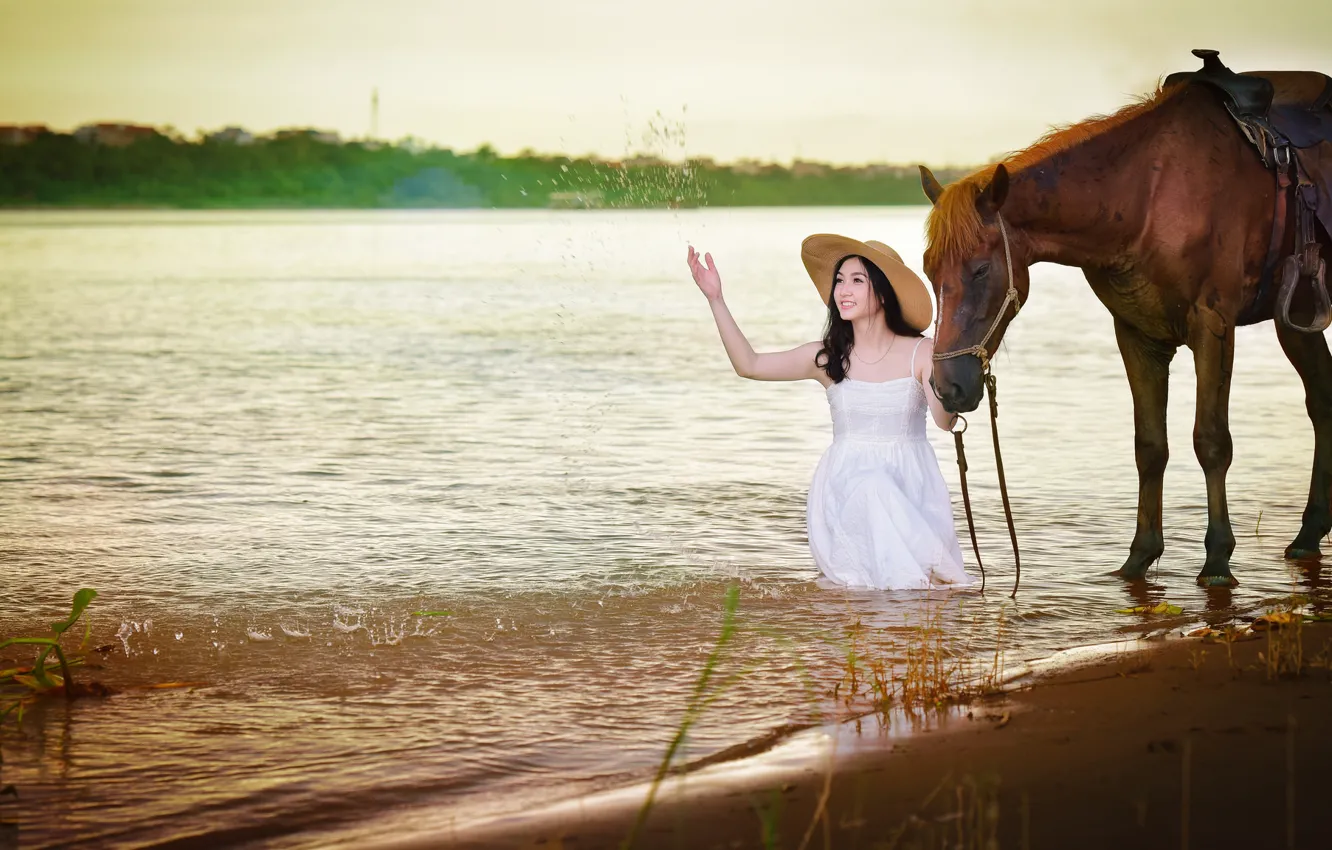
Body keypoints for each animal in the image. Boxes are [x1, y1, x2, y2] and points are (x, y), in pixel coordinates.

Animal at [917, 74, 1332, 588]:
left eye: (979, 269)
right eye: (928, 269)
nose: (948, 387)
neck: (1147, 196)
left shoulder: (1212, 325)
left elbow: (1212, 441)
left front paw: (1218, 560)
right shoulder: (1136, 334)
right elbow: (1149, 446)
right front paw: (1139, 557)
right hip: (1296, 318)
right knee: (1323, 400)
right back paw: (1308, 534)